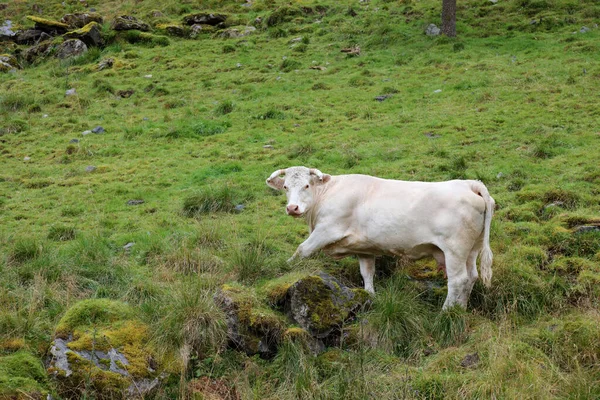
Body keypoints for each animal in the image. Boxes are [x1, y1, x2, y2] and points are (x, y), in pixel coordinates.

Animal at [264, 166, 494, 310]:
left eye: (307, 186)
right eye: (285, 187)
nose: (292, 208)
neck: (326, 194)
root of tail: (470, 184)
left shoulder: (327, 229)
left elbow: (302, 249)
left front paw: (283, 269)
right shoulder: (363, 249)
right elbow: (367, 274)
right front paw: (370, 296)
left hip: (454, 249)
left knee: (458, 280)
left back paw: (446, 311)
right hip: (471, 250)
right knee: (471, 277)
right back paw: (460, 308)